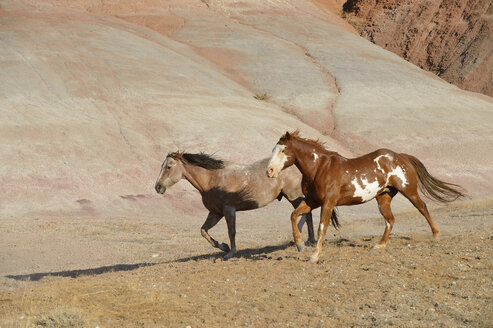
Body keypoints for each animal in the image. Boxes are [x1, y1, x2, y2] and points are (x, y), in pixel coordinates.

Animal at [155, 152, 316, 260]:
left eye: (168, 166)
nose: (158, 187)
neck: (212, 180)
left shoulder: (229, 211)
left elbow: (231, 231)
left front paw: (230, 253)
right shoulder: (215, 213)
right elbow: (204, 231)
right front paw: (223, 246)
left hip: (294, 196)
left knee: (306, 214)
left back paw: (307, 241)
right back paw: (307, 240)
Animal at [268, 132, 464, 262]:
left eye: (284, 150)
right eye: (273, 150)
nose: (269, 171)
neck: (319, 168)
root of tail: (401, 156)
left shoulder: (327, 203)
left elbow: (321, 228)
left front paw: (314, 256)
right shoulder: (312, 202)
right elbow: (294, 216)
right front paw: (300, 244)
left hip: (409, 191)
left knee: (422, 207)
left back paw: (436, 235)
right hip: (383, 197)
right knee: (390, 220)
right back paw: (380, 245)